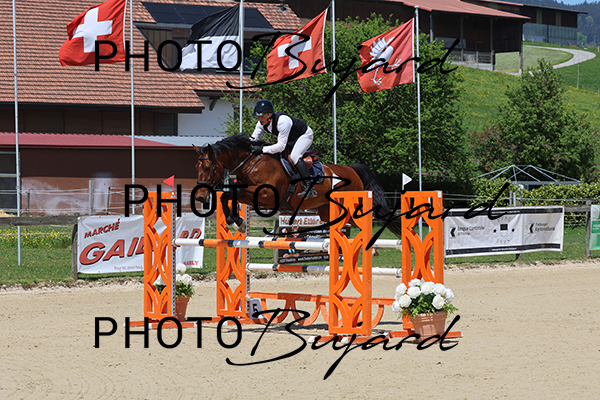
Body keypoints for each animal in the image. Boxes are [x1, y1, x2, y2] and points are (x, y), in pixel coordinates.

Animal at [193, 133, 400, 237]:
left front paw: (237, 220)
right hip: (326, 209)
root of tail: (352, 170)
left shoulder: (266, 197)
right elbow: (228, 196)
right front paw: (237, 221)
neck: (252, 163)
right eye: (197, 167)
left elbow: (231, 194)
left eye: (208, 167)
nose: (201, 197)